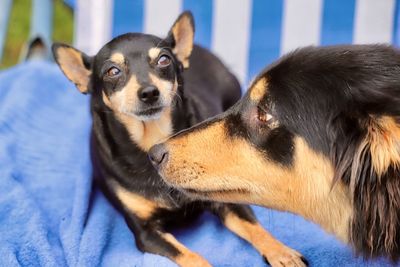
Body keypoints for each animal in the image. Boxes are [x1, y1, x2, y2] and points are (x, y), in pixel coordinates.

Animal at [50, 11, 306, 267]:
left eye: (163, 60)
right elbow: (191, 256)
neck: (152, 138)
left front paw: (282, 252)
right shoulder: (146, 232)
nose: (149, 92)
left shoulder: (226, 202)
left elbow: (253, 226)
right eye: (112, 71)